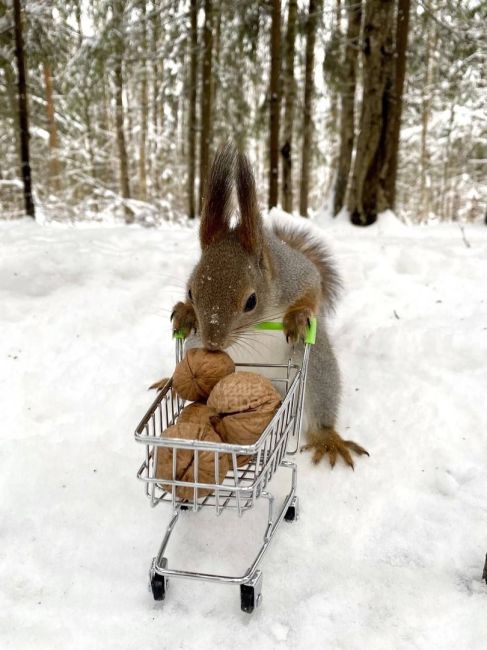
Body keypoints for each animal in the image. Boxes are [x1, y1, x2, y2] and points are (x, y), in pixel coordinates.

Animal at [158, 142, 368, 466]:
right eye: (191, 291)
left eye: (251, 301)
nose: (213, 344)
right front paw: (185, 313)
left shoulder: (296, 275)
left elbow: (313, 287)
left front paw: (297, 318)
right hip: (193, 347)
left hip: (317, 367)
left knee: (321, 400)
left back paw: (327, 438)